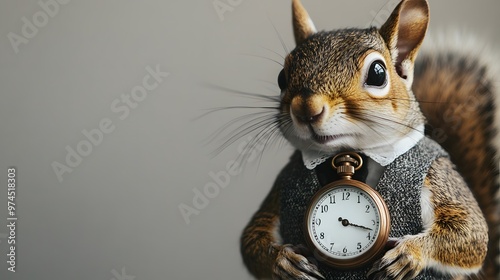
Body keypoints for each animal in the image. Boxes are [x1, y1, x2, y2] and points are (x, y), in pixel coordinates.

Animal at [240, 0, 498, 280]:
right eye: (282, 78)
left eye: (377, 73)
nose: (307, 109)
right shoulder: (282, 185)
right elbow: (251, 239)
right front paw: (283, 260)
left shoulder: (436, 175)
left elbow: (471, 233)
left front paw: (409, 253)